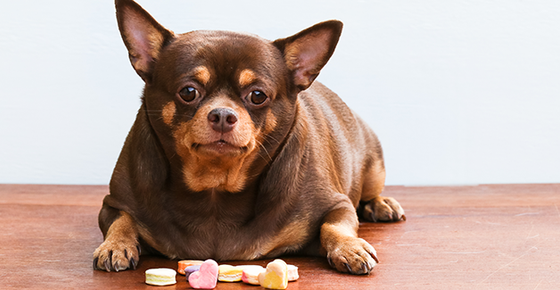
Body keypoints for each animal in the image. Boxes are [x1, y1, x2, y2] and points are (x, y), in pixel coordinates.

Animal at [94, 0, 404, 274]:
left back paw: (381, 204)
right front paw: (115, 245)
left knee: (370, 192)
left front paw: (350, 247)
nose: (222, 115)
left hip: (373, 168)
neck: (215, 188)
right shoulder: (113, 204)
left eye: (257, 95)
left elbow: (335, 225)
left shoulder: (338, 205)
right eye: (188, 92)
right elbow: (120, 220)